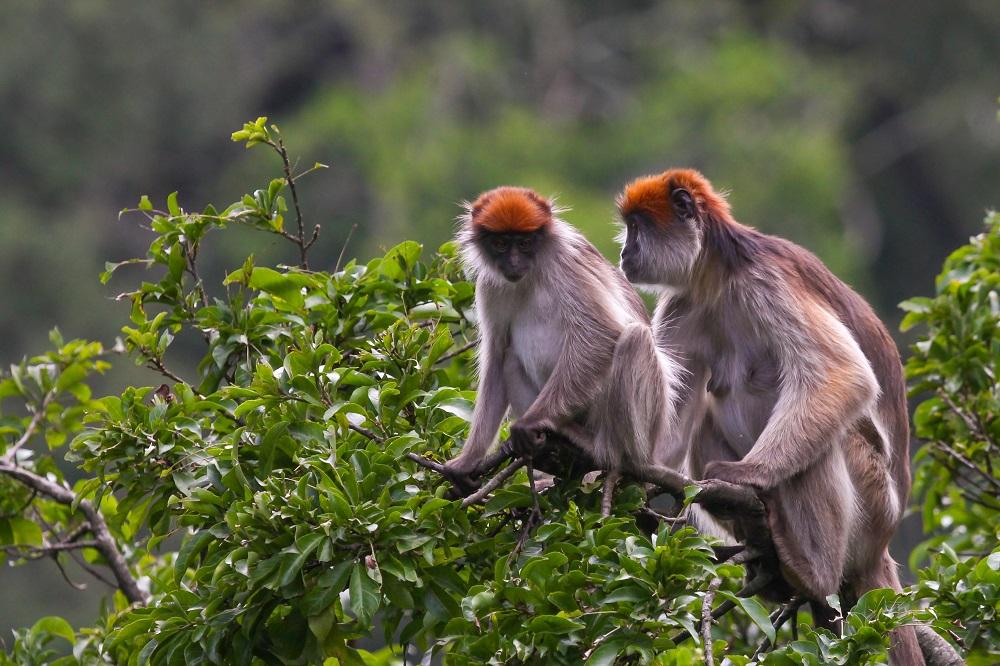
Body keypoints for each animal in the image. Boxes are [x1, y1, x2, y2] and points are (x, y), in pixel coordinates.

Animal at [442, 186, 685, 504]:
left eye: (525, 243)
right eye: (500, 243)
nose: (514, 263)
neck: (531, 273)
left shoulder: (564, 260)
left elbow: (601, 334)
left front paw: (530, 423)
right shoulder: (491, 284)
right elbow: (496, 354)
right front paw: (468, 461)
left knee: (635, 338)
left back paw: (605, 450)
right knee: (509, 357)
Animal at [615, 169, 923, 664]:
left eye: (637, 228)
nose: (625, 252)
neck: (717, 280)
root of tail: (885, 540)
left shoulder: (766, 280)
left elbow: (844, 375)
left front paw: (748, 474)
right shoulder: (684, 307)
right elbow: (673, 430)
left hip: (874, 500)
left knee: (831, 439)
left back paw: (813, 569)